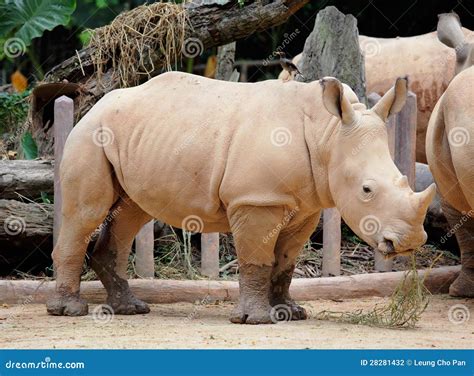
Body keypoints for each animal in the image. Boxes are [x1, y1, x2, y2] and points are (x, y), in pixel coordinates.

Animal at [46, 72, 436, 324]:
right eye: (367, 190)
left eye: (404, 179)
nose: (409, 242)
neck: (327, 135)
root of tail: (94, 104)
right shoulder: (256, 200)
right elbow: (257, 259)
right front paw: (256, 319)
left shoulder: (305, 206)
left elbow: (285, 262)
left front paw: (291, 313)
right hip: (90, 135)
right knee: (86, 213)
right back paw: (68, 312)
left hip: (131, 136)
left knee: (131, 212)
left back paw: (131, 309)